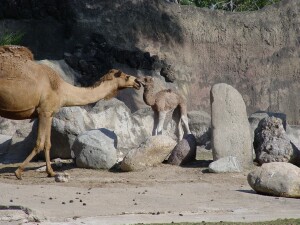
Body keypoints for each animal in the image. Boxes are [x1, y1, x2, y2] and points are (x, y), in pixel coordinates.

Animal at [0, 45, 142, 179]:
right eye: (127, 76)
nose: (138, 82)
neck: (61, 89)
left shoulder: (49, 113)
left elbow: (47, 144)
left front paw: (51, 172)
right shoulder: (44, 111)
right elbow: (39, 143)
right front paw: (18, 172)